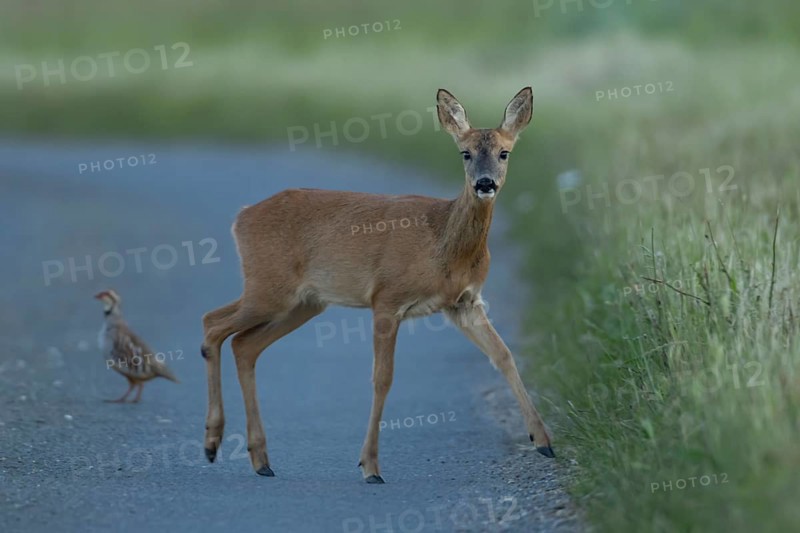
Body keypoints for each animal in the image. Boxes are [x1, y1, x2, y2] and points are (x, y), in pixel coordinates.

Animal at [200, 87, 554, 483]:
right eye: (465, 153)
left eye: (504, 152)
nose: (485, 183)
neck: (443, 245)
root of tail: (242, 216)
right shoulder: (387, 297)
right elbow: (382, 378)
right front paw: (370, 466)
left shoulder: (463, 303)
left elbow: (504, 355)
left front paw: (544, 441)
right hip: (269, 288)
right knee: (212, 324)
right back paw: (212, 442)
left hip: (303, 303)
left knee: (244, 345)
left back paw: (260, 459)